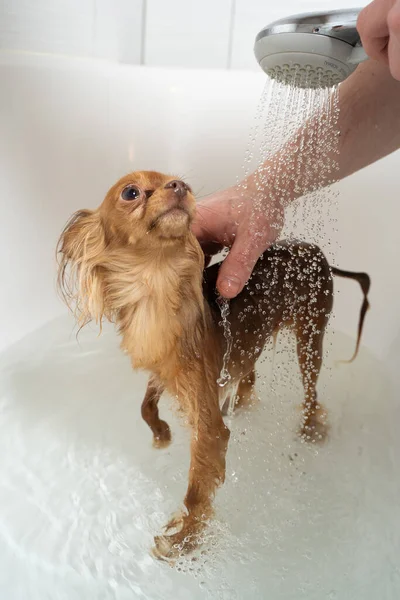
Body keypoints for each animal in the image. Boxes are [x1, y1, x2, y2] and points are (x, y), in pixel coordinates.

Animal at [57, 170, 370, 564]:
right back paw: (244, 401)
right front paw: (161, 433)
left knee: (311, 390)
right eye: (130, 193)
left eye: (178, 182)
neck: (154, 289)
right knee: (248, 371)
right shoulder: (166, 371)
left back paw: (310, 428)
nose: (180, 186)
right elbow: (145, 404)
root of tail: (315, 250)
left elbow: (196, 490)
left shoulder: (208, 424)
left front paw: (184, 539)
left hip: (310, 334)